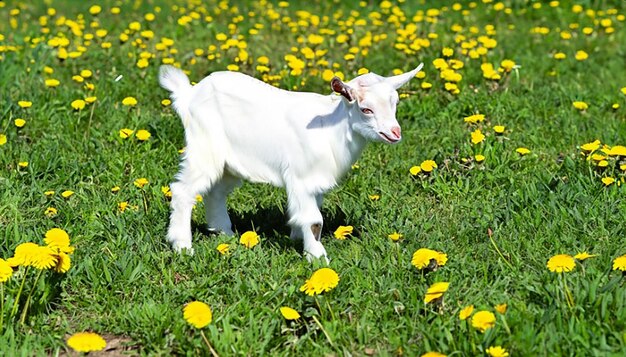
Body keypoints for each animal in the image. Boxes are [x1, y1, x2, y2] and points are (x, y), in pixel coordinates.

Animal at [158, 63, 422, 258]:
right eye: (365, 109)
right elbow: (315, 220)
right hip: (204, 146)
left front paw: (297, 237)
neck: (329, 128)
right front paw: (317, 258)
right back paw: (183, 246)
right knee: (184, 190)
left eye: (395, 102)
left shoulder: (316, 181)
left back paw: (224, 233)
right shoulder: (301, 176)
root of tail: (189, 94)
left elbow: (307, 214)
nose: (395, 132)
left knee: (216, 191)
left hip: (229, 161)